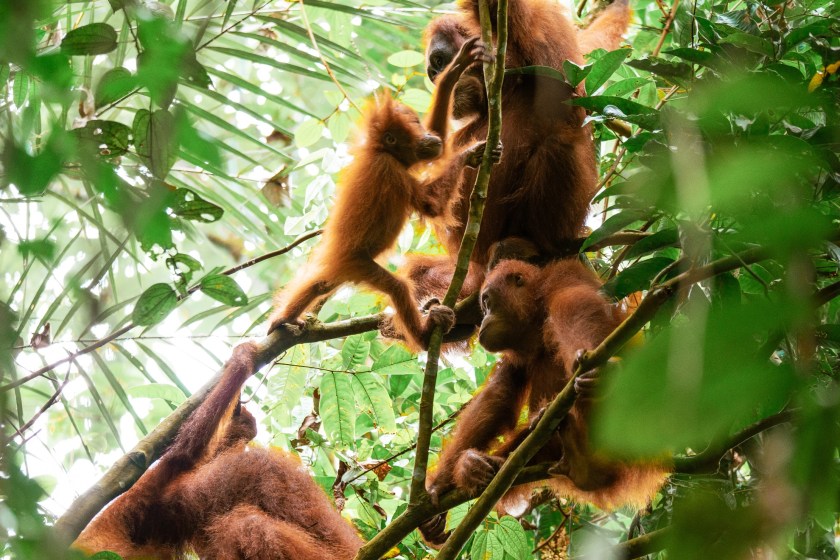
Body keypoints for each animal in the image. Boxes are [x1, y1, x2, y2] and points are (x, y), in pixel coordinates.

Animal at [266, 36, 501, 351]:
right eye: (413, 128)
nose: (427, 137)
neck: (381, 151)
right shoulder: (391, 171)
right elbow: (431, 205)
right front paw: (469, 154)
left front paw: (452, 72)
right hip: (360, 265)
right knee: (398, 288)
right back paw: (424, 335)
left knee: (318, 285)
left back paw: (285, 317)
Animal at [420, 255, 667, 545]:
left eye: (488, 302)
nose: (484, 320)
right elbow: (499, 398)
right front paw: (440, 486)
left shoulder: (563, 279)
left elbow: (574, 306)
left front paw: (600, 372)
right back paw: (477, 467)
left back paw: (587, 465)